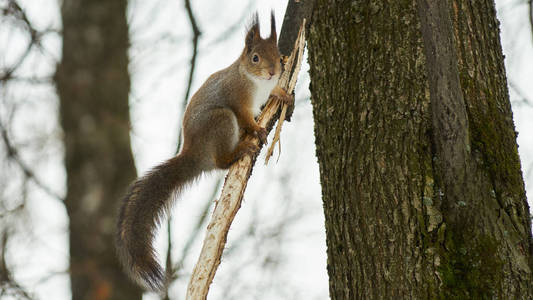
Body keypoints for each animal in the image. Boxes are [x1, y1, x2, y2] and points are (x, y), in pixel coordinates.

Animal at [115, 11, 294, 290]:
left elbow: (274, 93)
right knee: (221, 161)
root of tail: (194, 155)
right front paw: (257, 129)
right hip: (221, 121)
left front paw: (283, 94)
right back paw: (241, 149)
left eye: (277, 54)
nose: (273, 72)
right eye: (255, 58)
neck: (253, 80)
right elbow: (246, 117)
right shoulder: (237, 98)